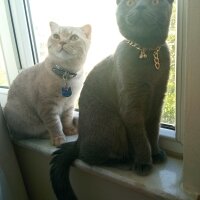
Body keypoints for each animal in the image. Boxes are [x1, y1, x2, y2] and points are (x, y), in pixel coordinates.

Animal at [50, 0, 173, 198]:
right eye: (130, 3)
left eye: (155, 2)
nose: (140, 6)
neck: (147, 52)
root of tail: (78, 140)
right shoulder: (131, 106)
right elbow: (141, 138)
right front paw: (144, 162)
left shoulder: (157, 102)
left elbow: (153, 132)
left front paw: (156, 154)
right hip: (114, 123)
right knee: (88, 157)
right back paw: (126, 161)